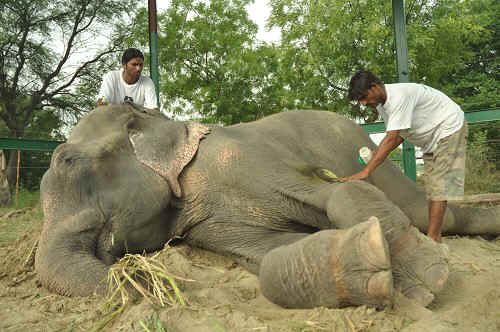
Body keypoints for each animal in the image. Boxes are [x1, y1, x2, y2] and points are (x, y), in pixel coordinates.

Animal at [33, 103, 498, 308]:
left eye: (67, 161)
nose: (143, 287)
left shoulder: (243, 158)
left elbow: (335, 192)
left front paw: (427, 281)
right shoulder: (208, 224)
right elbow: (271, 255)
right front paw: (368, 266)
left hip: (375, 161)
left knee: (430, 210)